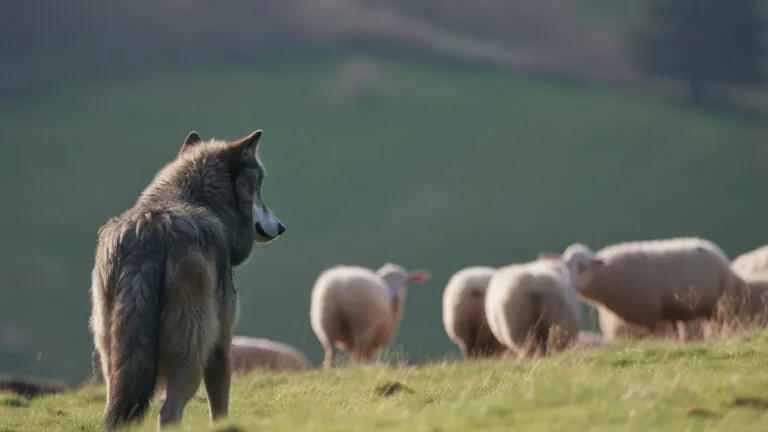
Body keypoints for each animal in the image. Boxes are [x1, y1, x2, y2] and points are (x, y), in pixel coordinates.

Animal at [89, 129, 286, 430]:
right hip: (191, 357)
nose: (282, 227)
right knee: (169, 412)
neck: (197, 201)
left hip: (113, 361)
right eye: (258, 190)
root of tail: (149, 232)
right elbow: (220, 409)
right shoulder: (220, 344)